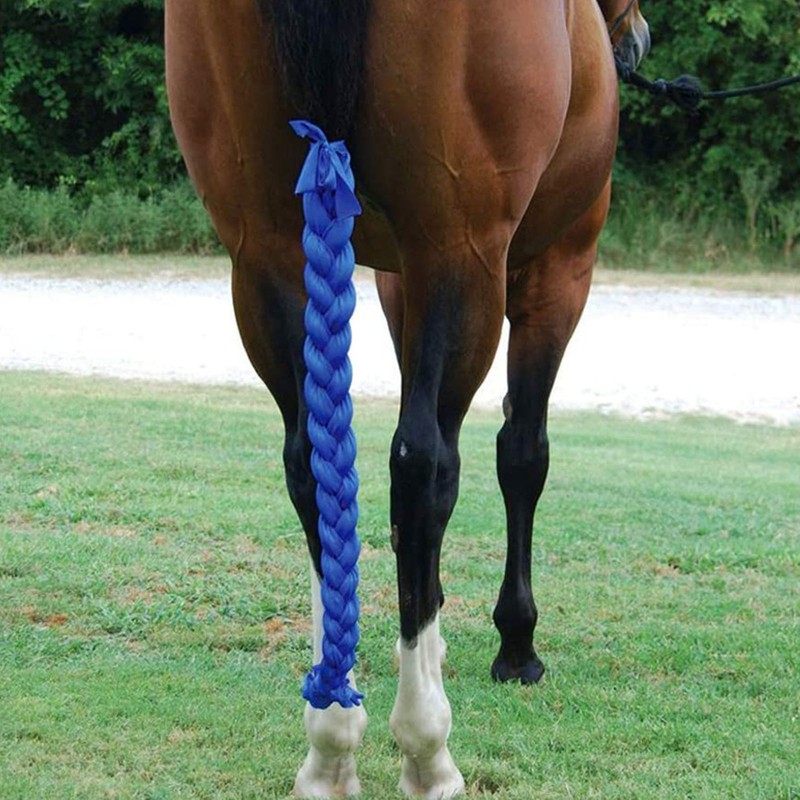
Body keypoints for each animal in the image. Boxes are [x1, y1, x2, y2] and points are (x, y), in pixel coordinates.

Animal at [165, 1, 650, 796]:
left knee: (314, 469)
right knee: (424, 468)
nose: (635, 39)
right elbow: (522, 454)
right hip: (463, 251)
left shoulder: (393, 277)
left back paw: (332, 739)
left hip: (264, 253)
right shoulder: (557, 267)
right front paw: (516, 642)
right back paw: (426, 747)